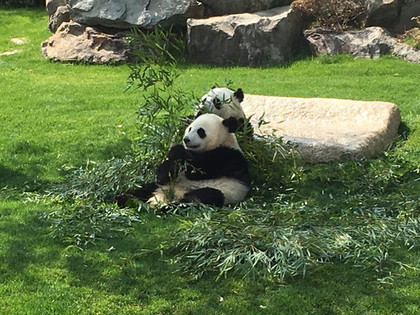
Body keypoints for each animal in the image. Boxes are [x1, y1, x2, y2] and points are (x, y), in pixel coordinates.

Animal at [116, 113, 251, 207]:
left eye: (201, 131)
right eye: (190, 128)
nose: (186, 139)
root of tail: (170, 195)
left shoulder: (229, 156)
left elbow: (200, 170)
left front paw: (178, 150)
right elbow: (166, 172)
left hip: (223, 192)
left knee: (200, 198)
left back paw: (168, 207)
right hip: (162, 186)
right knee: (145, 188)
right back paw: (124, 198)